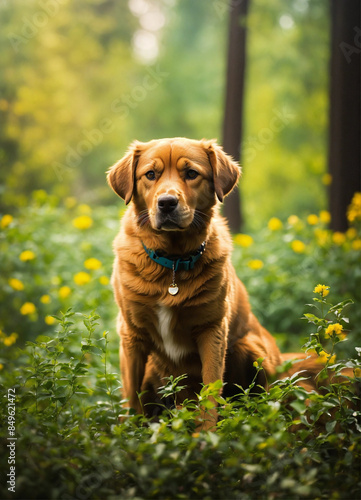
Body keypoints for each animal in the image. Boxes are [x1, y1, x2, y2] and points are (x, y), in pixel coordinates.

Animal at [107, 138, 318, 430]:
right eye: (150, 174)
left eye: (191, 173)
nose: (167, 203)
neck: (172, 264)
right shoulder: (131, 334)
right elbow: (131, 394)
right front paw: (130, 432)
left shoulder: (212, 330)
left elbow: (210, 389)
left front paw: (206, 434)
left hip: (252, 348)